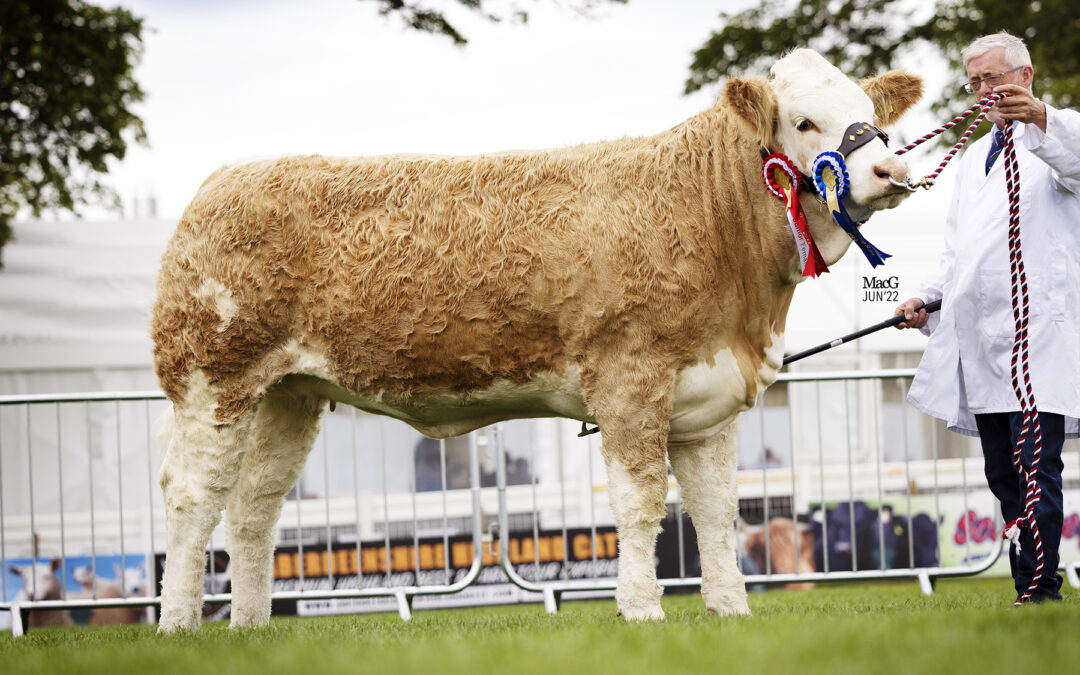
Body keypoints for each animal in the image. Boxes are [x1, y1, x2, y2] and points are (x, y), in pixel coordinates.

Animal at [152, 48, 924, 630]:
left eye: (870, 112)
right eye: (805, 120)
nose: (890, 170)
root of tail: (223, 180)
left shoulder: (707, 396)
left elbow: (715, 507)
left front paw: (729, 607)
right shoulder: (630, 378)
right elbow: (641, 499)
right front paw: (641, 607)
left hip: (289, 392)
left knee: (254, 505)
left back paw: (250, 624)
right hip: (213, 381)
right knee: (193, 497)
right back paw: (180, 624)